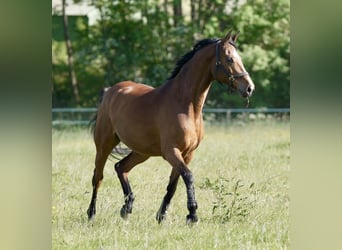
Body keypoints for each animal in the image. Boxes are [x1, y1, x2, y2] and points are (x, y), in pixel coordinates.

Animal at [87, 31, 255, 225]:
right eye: (229, 58)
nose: (249, 88)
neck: (185, 105)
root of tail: (110, 91)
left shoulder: (187, 154)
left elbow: (173, 184)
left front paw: (162, 216)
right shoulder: (171, 152)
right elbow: (188, 176)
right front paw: (192, 215)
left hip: (142, 152)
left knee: (121, 167)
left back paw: (127, 208)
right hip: (104, 145)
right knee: (98, 177)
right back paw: (91, 214)